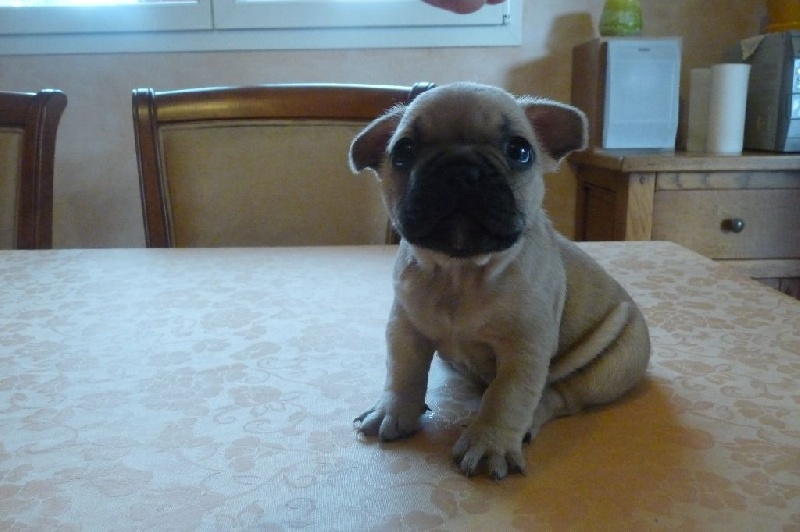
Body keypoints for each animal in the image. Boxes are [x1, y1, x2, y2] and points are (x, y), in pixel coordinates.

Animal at [349, 82, 651, 479]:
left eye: (520, 151)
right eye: (403, 152)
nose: (460, 170)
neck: (459, 273)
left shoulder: (523, 348)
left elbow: (506, 396)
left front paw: (489, 443)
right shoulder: (405, 329)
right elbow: (402, 374)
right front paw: (393, 412)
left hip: (613, 363)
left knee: (560, 396)